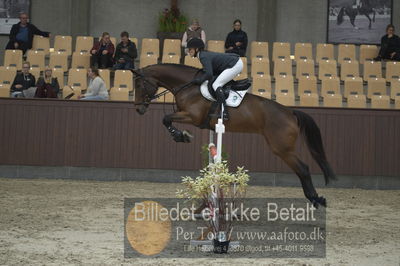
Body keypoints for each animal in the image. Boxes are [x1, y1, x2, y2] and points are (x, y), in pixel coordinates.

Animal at [133, 64, 336, 208]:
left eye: (139, 84)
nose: (138, 109)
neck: (189, 86)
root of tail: (290, 112)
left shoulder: (192, 116)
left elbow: (165, 118)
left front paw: (181, 135)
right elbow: (167, 118)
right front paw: (181, 135)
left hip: (282, 148)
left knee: (303, 169)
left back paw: (316, 199)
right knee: (302, 169)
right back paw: (315, 199)